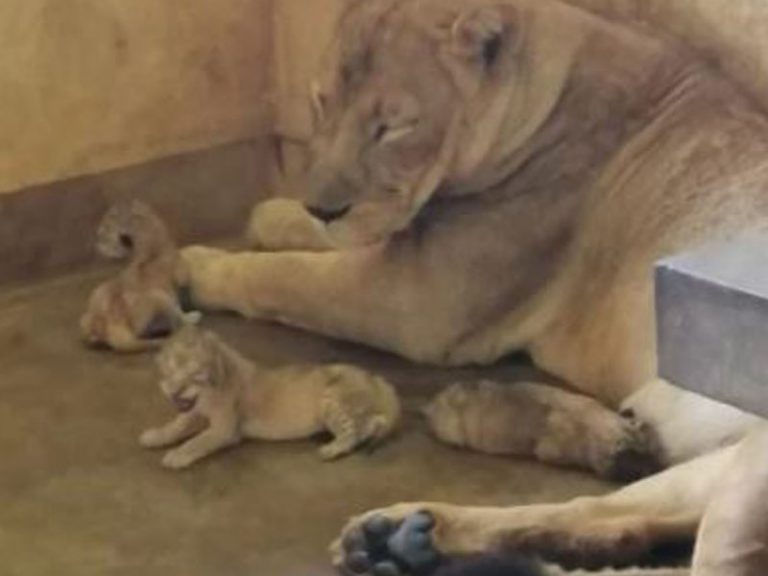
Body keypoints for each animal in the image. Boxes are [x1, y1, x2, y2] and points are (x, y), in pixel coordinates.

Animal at [80, 200, 198, 353]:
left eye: (104, 233)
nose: (97, 243)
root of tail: (114, 326)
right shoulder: (180, 270)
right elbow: (185, 276)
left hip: (96, 297)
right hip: (161, 298)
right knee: (166, 325)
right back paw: (190, 318)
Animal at [140, 324, 401, 469]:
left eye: (194, 374)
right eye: (168, 372)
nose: (173, 392)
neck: (208, 393)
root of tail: (378, 380)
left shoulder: (225, 429)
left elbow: (197, 441)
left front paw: (176, 455)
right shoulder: (195, 412)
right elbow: (176, 425)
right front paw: (154, 435)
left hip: (332, 401)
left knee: (355, 432)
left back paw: (330, 449)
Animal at [177, 0, 768, 572]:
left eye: (391, 127)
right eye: (321, 103)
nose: (324, 207)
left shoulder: (420, 301)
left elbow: (286, 277)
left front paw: (195, 268)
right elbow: (313, 242)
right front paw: (274, 215)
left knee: (600, 514)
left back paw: (401, 530)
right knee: (625, 520)